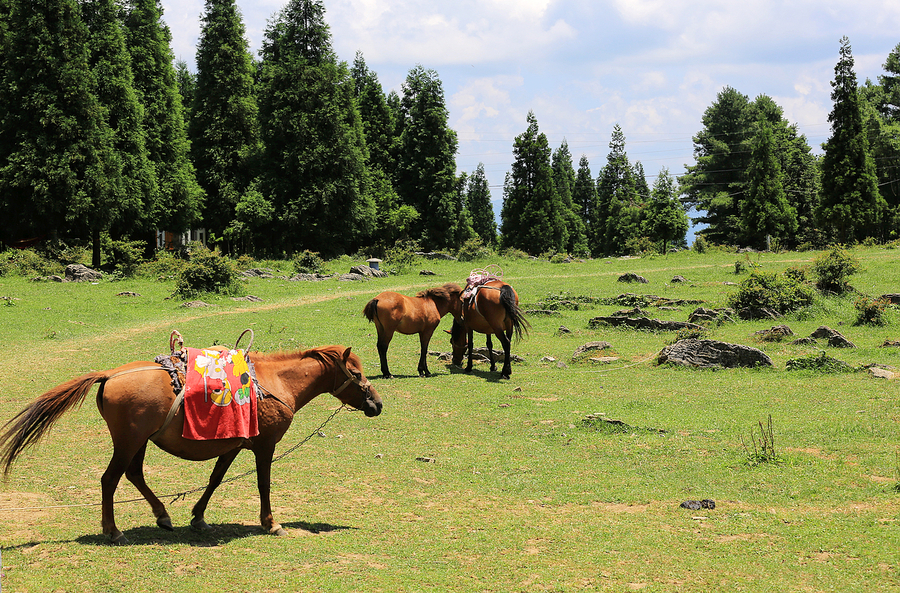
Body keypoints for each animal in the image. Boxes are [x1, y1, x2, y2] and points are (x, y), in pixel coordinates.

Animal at [0, 344, 382, 544]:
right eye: (357, 375)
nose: (376, 404)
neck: (274, 383)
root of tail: (110, 375)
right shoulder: (264, 446)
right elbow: (263, 484)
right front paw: (271, 522)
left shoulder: (232, 445)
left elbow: (215, 479)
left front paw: (198, 517)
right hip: (128, 442)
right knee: (110, 479)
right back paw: (113, 531)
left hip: (138, 442)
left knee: (134, 475)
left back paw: (163, 516)